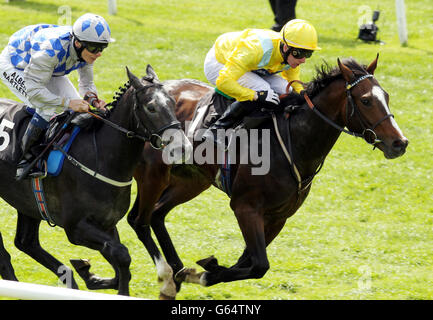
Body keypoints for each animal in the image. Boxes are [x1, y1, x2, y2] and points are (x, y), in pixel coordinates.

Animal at [0, 64, 192, 296]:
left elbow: (119, 264)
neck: (101, 156)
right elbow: (122, 254)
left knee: (26, 242)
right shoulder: (75, 227)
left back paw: (67, 278)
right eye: (151, 107)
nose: (183, 147)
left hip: (28, 203)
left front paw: (88, 274)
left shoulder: (107, 224)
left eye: (173, 102)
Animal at [125, 55, 408, 298]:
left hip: (192, 180)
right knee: (139, 219)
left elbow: (248, 262)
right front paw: (203, 273)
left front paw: (203, 269)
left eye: (387, 96)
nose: (399, 143)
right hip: (154, 176)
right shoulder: (245, 207)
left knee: (157, 214)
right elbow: (259, 264)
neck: (293, 142)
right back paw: (168, 277)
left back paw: (176, 270)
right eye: (366, 100)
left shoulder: (278, 216)